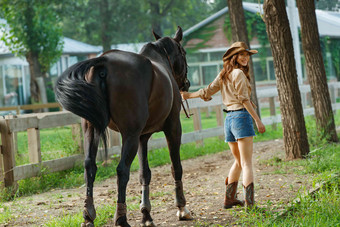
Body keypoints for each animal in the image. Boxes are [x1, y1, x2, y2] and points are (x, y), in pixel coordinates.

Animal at [54, 27, 190, 227]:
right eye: (184, 52)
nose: (186, 83)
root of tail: (103, 62)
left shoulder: (142, 137)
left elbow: (144, 173)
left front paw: (146, 215)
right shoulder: (172, 128)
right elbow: (176, 167)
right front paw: (181, 208)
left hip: (91, 129)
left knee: (89, 166)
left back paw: (88, 215)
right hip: (130, 135)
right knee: (122, 171)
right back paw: (121, 218)